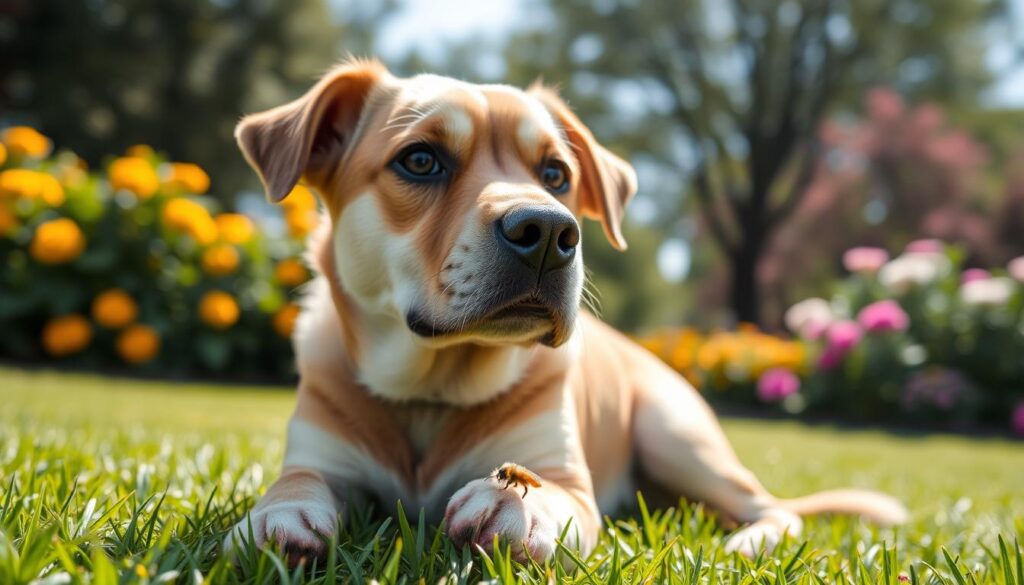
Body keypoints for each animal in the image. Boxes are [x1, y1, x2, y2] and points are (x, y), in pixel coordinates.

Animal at [224, 58, 905, 561]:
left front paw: (511, 503)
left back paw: (748, 542)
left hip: (677, 436)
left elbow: (543, 487)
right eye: (419, 160)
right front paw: (278, 513)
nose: (549, 231)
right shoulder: (321, 456)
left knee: (775, 510)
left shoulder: (569, 481)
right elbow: (297, 481)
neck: (431, 394)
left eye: (555, 174)